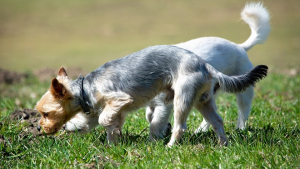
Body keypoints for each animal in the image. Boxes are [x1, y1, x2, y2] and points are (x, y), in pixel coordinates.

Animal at [35, 44, 268, 146]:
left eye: (46, 113)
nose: (39, 128)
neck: (85, 88)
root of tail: (205, 65)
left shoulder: (119, 99)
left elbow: (103, 120)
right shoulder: (115, 109)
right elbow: (110, 125)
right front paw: (112, 144)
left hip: (182, 98)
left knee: (180, 127)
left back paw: (170, 146)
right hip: (204, 101)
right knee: (218, 121)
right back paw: (223, 145)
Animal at [62, 2, 270, 140]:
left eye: (77, 110)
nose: (63, 126)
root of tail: (240, 47)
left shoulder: (164, 104)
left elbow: (155, 122)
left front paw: (155, 138)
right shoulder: (152, 104)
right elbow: (150, 116)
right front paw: (164, 129)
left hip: (241, 93)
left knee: (243, 111)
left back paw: (239, 129)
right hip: (207, 96)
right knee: (213, 118)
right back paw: (203, 131)